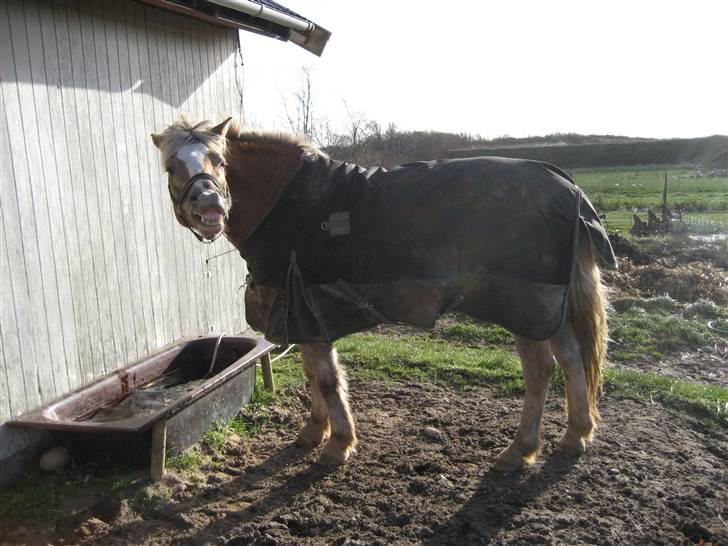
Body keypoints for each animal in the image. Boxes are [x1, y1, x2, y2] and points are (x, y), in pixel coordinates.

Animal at [149, 117, 616, 470]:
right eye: (172, 166)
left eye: (220, 160)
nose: (210, 208)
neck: (284, 201)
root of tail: (564, 185)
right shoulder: (303, 315)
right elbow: (312, 375)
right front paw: (313, 431)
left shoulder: (307, 308)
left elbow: (326, 378)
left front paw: (338, 444)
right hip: (549, 308)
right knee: (572, 360)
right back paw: (575, 434)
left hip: (526, 308)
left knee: (540, 372)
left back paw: (520, 450)